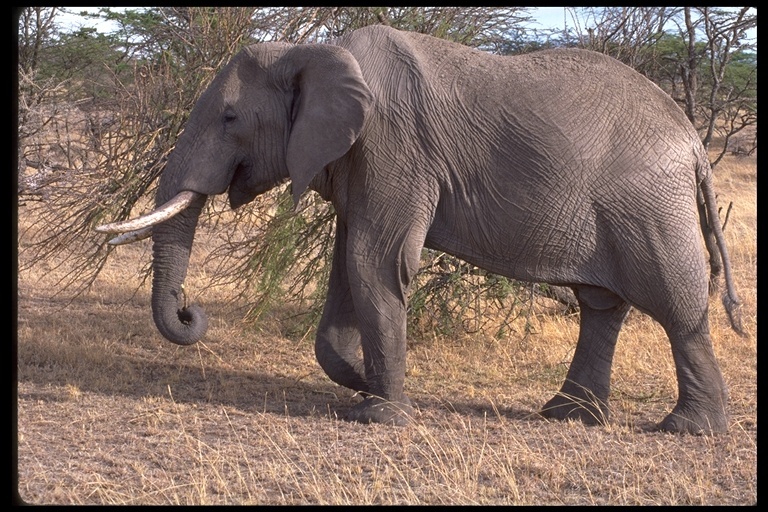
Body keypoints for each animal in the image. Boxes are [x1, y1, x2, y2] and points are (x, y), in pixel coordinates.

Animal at [94, 23, 736, 432]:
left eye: (229, 118)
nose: (190, 312)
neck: (311, 50)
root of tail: (693, 142)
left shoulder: (392, 147)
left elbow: (373, 260)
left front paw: (382, 413)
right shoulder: (358, 160)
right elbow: (347, 265)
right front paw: (364, 384)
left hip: (649, 206)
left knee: (674, 305)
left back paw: (688, 430)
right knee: (601, 304)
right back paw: (569, 416)